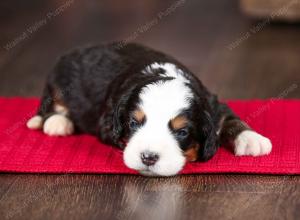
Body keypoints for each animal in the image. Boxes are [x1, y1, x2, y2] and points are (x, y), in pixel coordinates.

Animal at [27, 42, 272, 177]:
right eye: (133, 123)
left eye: (182, 132)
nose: (148, 157)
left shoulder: (212, 102)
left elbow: (228, 118)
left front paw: (251, 139)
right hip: (56, 81)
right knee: (51, 104)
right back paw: (57, 122)